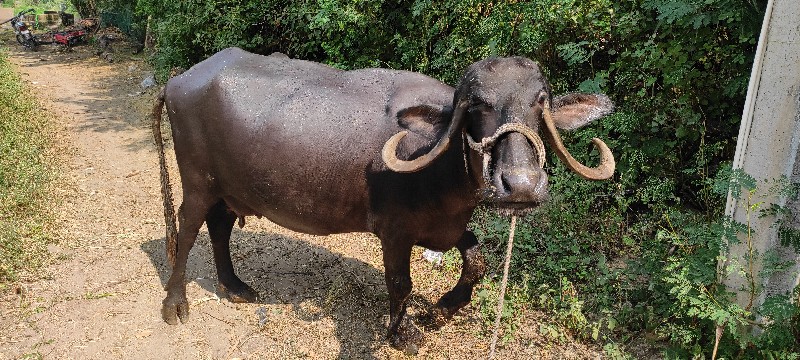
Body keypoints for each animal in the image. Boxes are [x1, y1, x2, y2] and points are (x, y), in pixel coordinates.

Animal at [152, 47, 612, 352]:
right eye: (479, 105)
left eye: (541, 104)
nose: (520, 185)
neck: (441, 166)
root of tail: (177, 81)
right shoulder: (394, 231)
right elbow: (400, 282)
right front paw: (400, 333)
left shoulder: (444, 226)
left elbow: (477, 260)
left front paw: (441, 310)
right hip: (198, 183)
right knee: (187, 230)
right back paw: (175, 304)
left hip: (230, 190)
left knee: (220, 226)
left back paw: (234, 286)